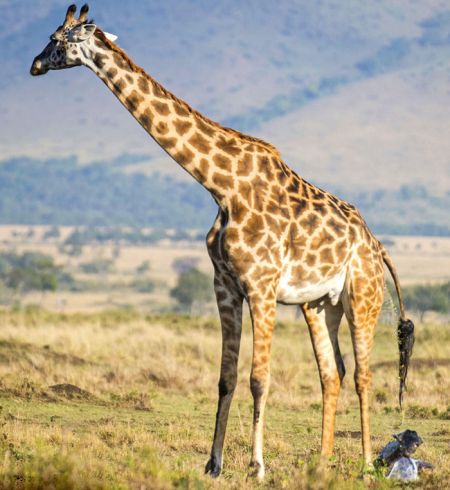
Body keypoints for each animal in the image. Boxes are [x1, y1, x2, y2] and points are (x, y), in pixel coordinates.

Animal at [29, 3, 414, 478]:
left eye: (57, 40)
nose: (34, 65)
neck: (221, 186)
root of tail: (377, 245)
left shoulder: (262, 287)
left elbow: (258, 378)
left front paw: (256, 466)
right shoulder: (225, 286)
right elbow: (226, 377)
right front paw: (213, 464)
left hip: (363, 296)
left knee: (363, 374)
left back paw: (363, 464)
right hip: (320, 304)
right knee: (332, 372)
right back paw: (321, 464)